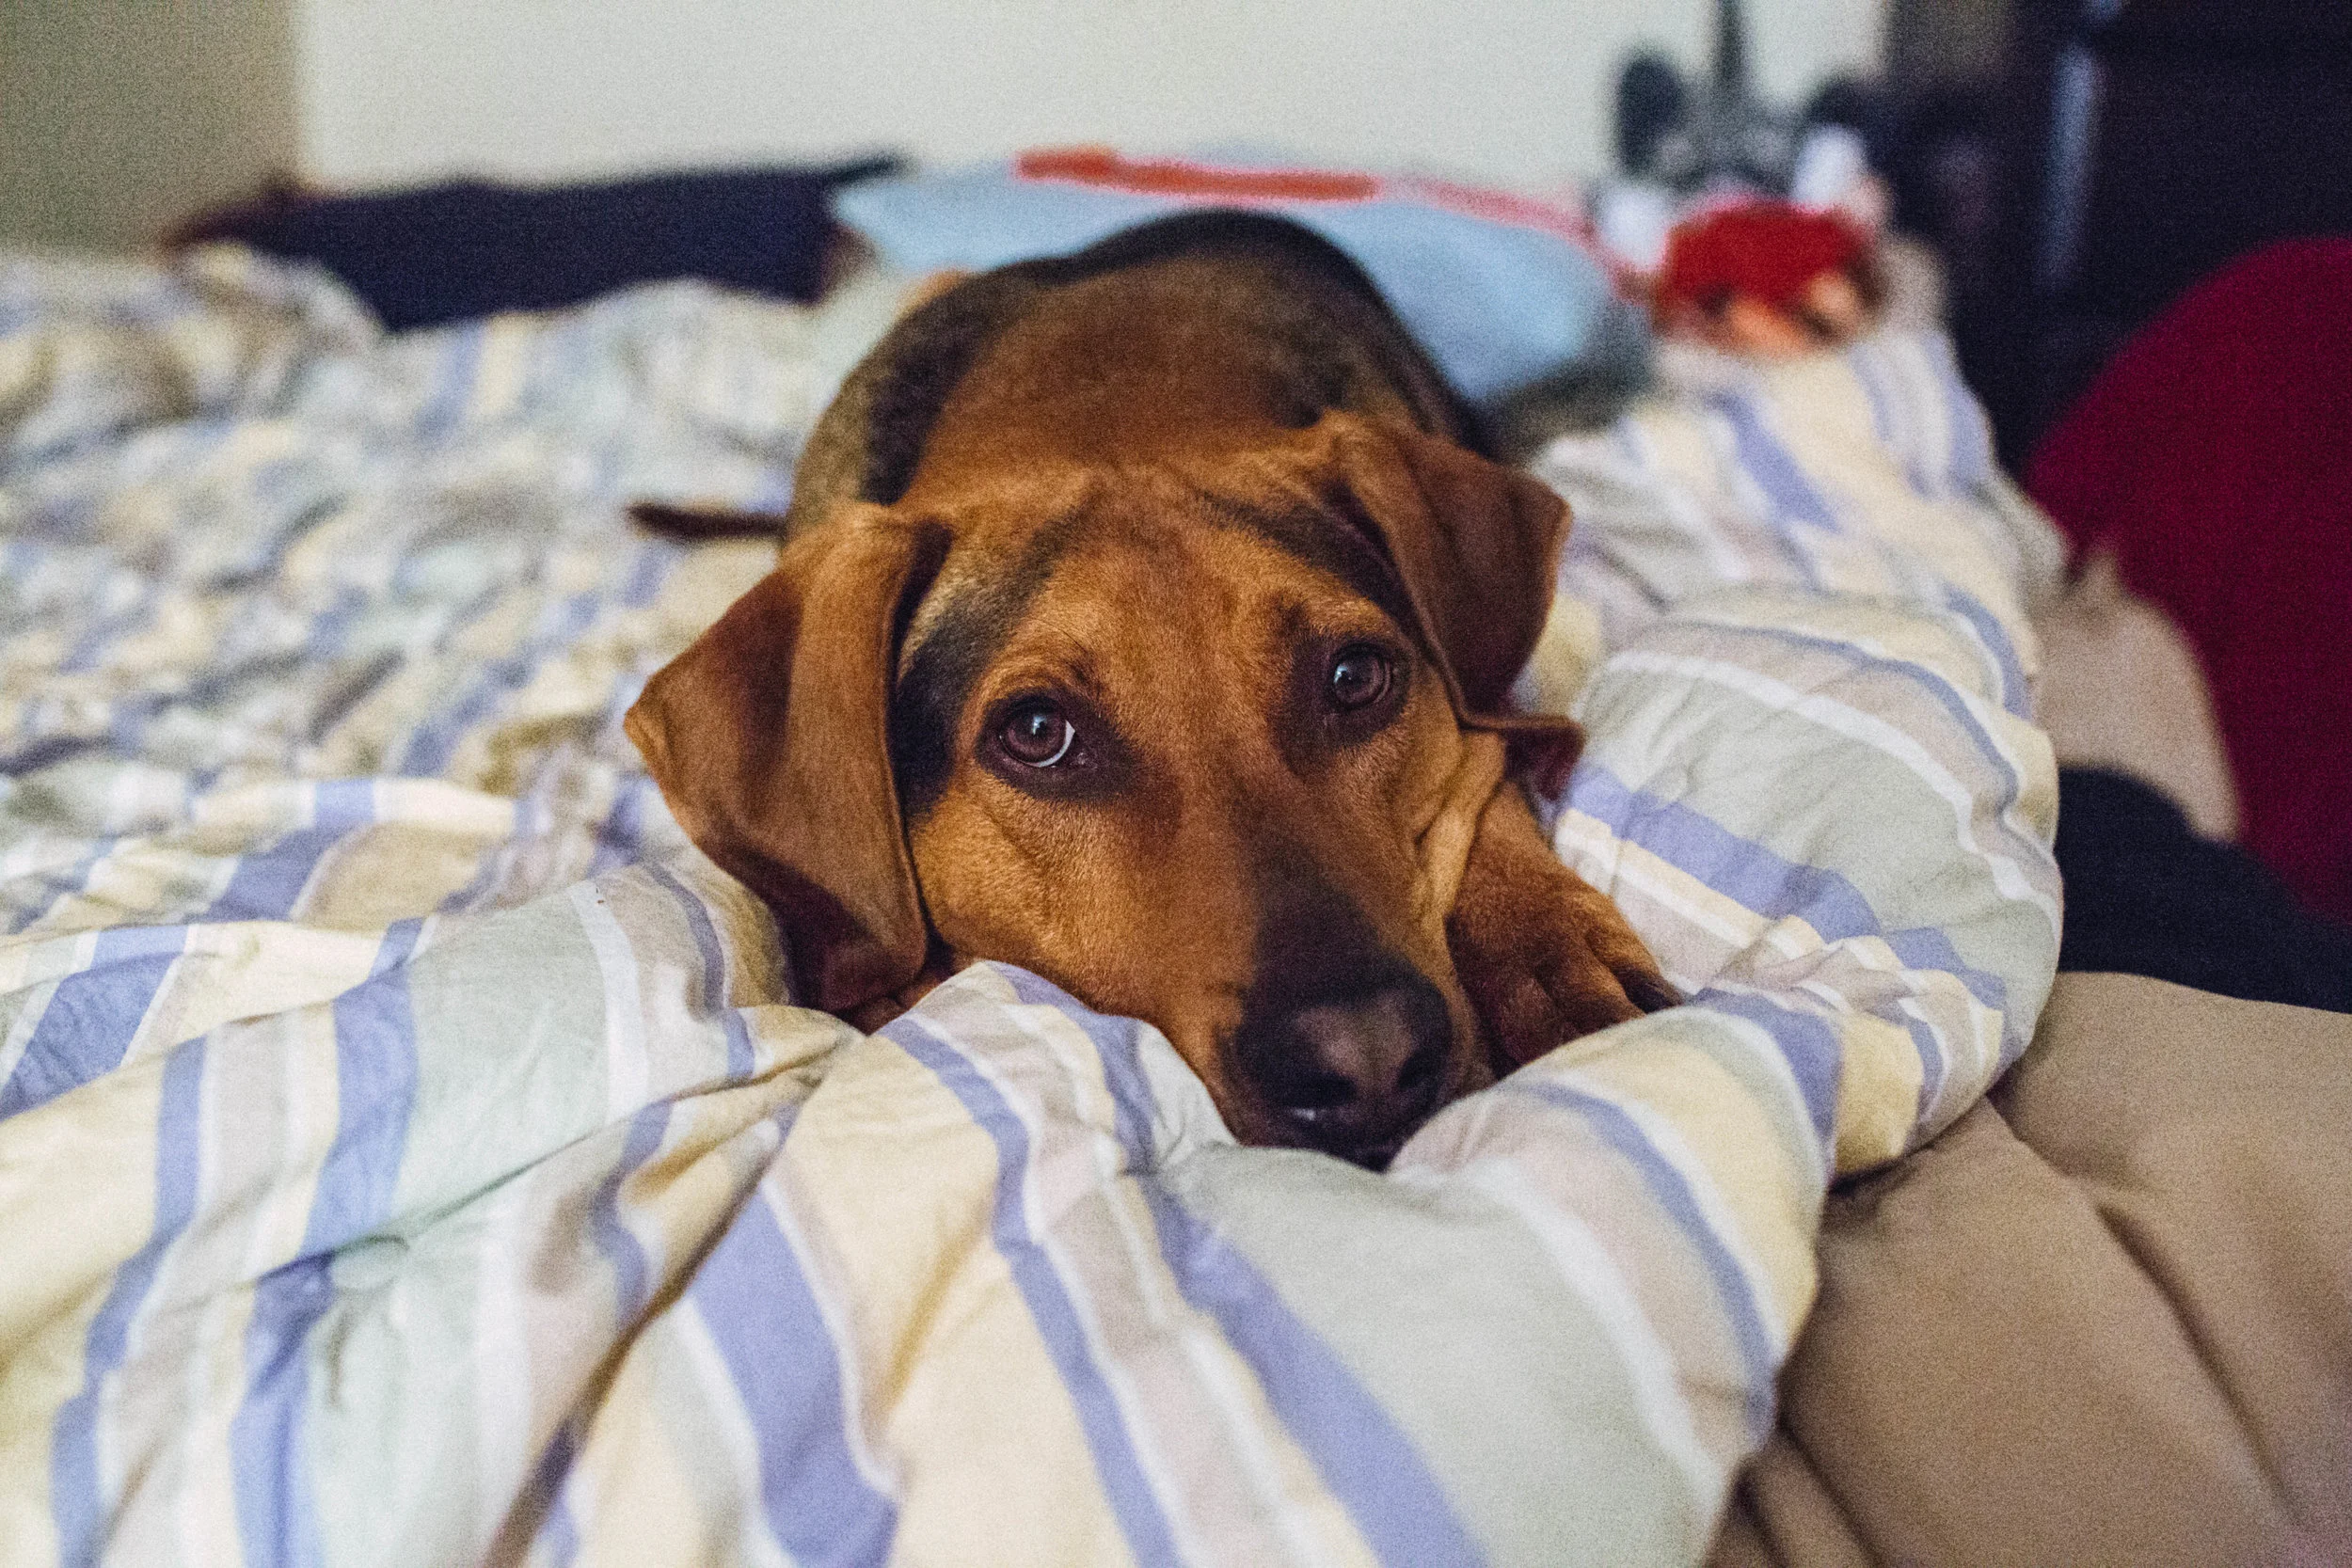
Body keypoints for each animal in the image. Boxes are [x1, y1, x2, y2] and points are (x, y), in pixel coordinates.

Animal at [626, 211, 1672, 1167]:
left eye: (1355, 677)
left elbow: (1479, 769)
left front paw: (1542, 945)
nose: (1367, 1062)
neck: (1097, 383)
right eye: (1037, 732)